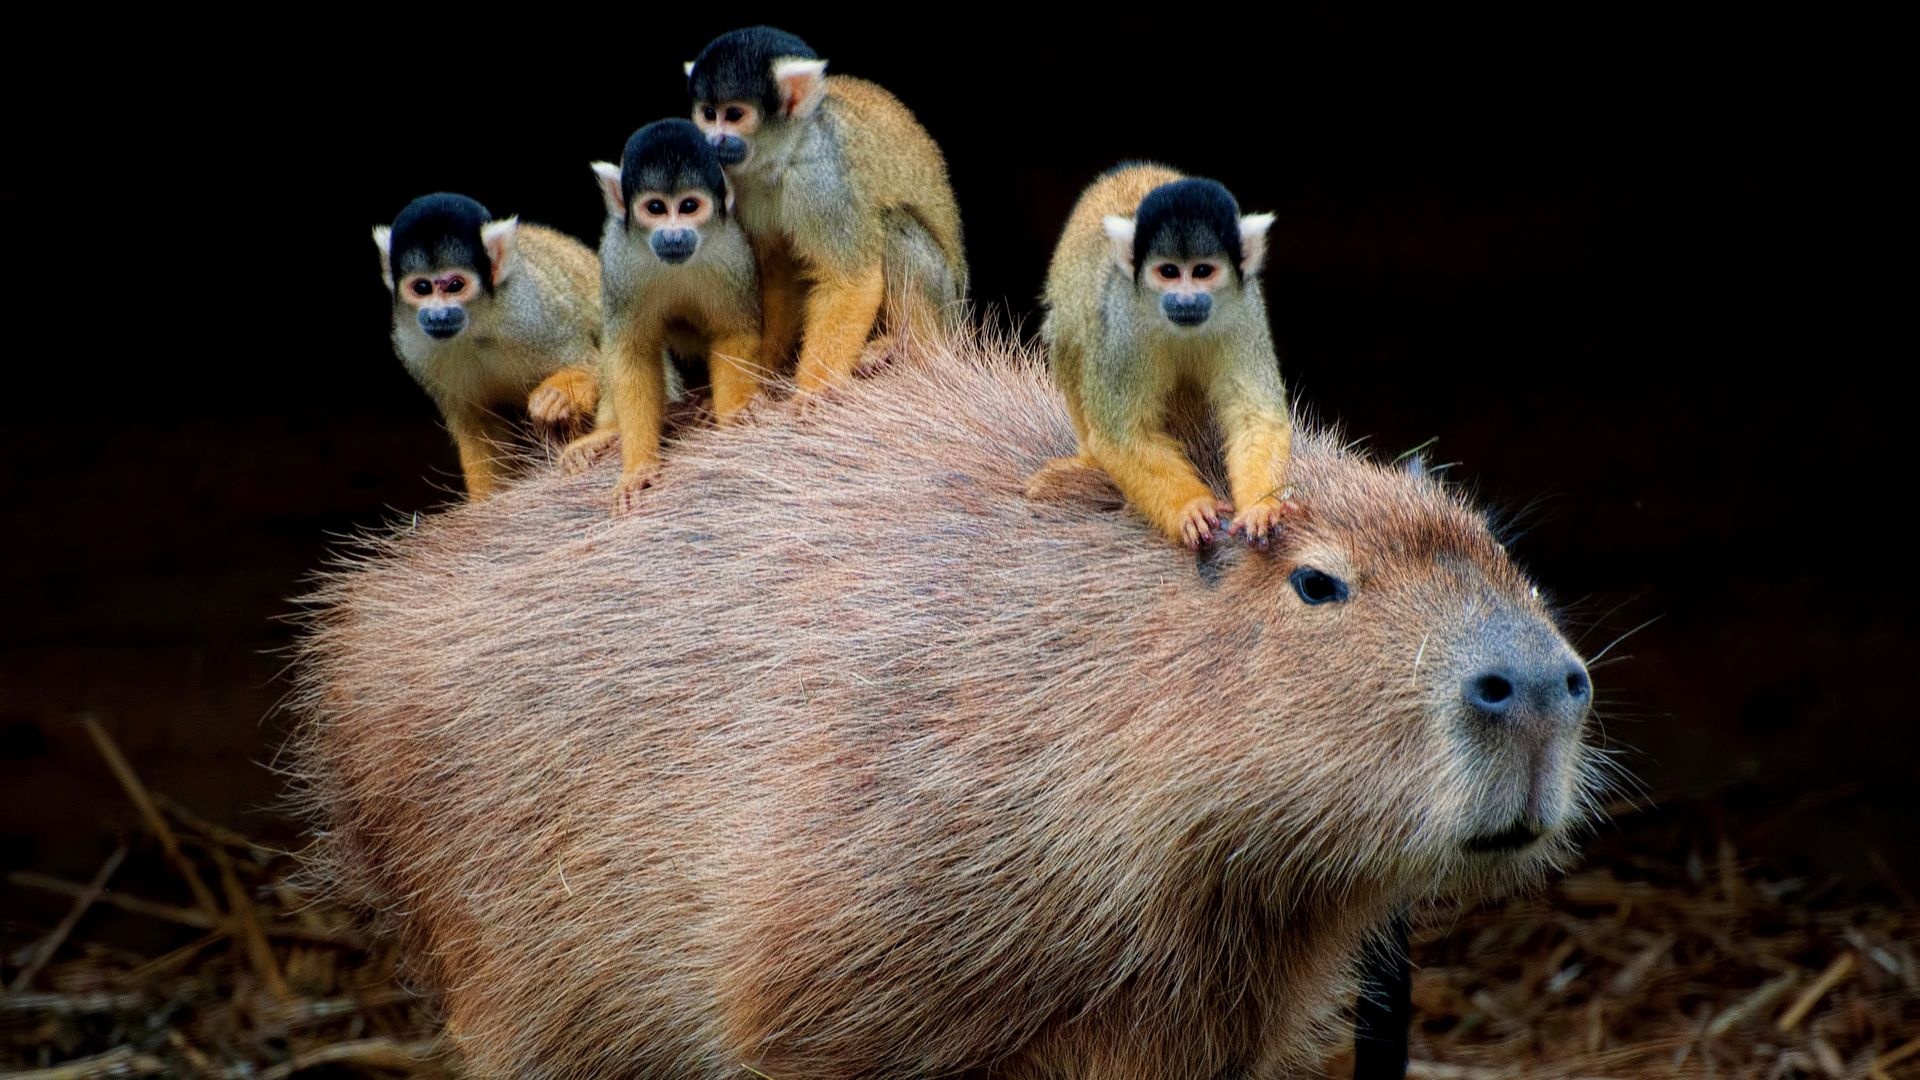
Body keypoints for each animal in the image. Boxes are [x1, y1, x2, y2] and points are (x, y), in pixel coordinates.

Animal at [368, 193, 591, 495]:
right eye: (422, 288)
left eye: (455, 285)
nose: (438, 315)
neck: (476, 328)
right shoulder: (412, 347)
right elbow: (481, 429)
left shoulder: (533, 313)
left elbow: (594, 363)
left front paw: (559, 395)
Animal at [560, 119, 760, 511]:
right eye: (655, 207)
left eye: (688, 206)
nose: (673, 234)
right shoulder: (618, 257)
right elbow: (631, 354)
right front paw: (638, 467)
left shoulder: (732, 252)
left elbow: (733, 333)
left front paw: (733, 414)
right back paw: (608, 432)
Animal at [683, 28, 967, 399]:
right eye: (707, 113)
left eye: (733, 115)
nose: (713, 141)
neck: (780, 158)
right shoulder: (735, 185)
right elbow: (779, 277)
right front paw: (762, 372)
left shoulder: (820, 179)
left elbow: (851, 281)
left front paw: (813, 392)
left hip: (945, 307)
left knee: (894, 228)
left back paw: (906, 348)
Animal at [1029, 166, 1297, 545]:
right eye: (1169, 271)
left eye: (1202, 271)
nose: (1186, 300)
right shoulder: (1123, 322)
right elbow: (1122, 433)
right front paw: (1191, 507)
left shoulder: (1245, 311)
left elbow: (1255, 416)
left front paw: (1262, 506)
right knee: (1072, 338)